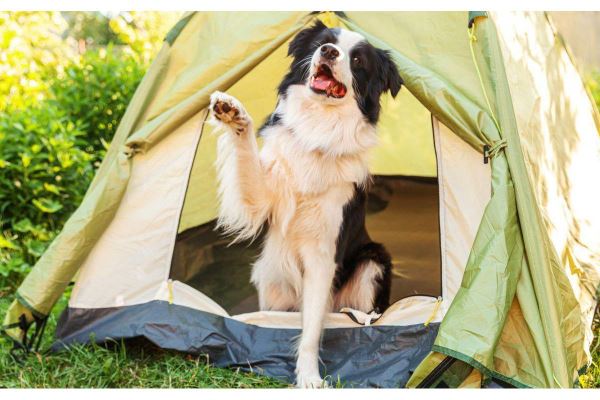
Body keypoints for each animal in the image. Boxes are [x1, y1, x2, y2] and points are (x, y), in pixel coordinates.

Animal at [209, 21, 400, 388]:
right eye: (323, 43)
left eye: (358, 60)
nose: (328, 53)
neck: (320, 125)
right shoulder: (261, 198)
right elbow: (247, 159)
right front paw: (233, 112)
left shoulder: (322, 253)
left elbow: (312, 328)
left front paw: (309, 376)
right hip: (271, 279)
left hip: (373, 262)